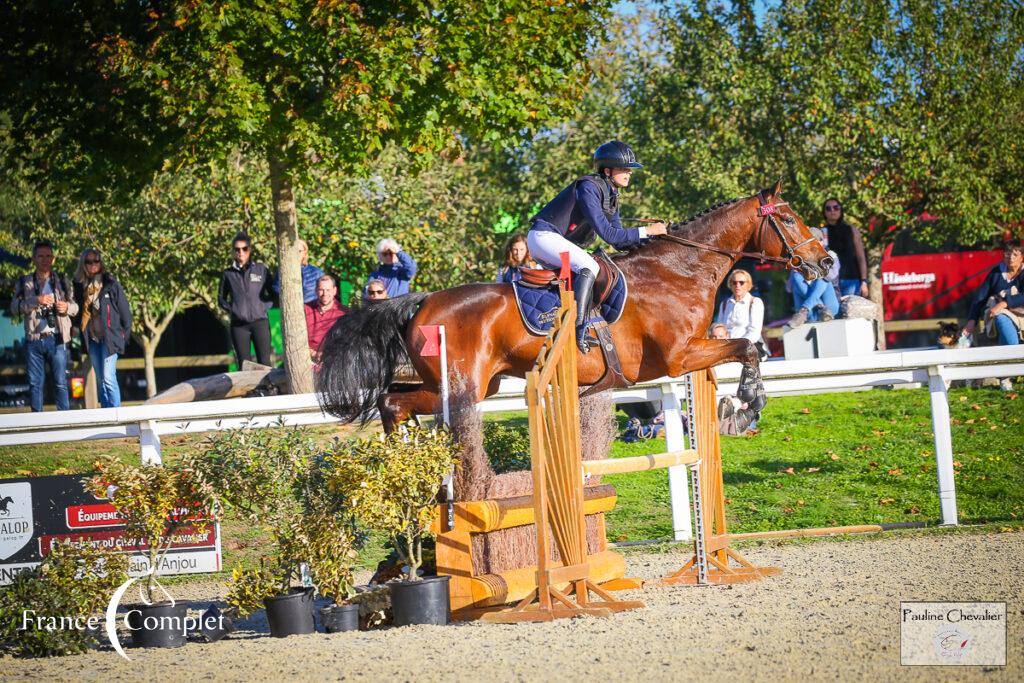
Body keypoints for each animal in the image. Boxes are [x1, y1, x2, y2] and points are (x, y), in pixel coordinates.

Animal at [317, 184, 831, 430]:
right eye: (788, 219)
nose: (824, 261)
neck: (679, 269)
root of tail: (423, 300)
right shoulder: (679, 356)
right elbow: (748, 348)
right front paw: (749, 402)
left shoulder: (693, 351)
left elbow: (749, 348)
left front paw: (739, 404)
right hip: (464, 386)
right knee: (390, 402)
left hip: (470, 383)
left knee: (393, 401)